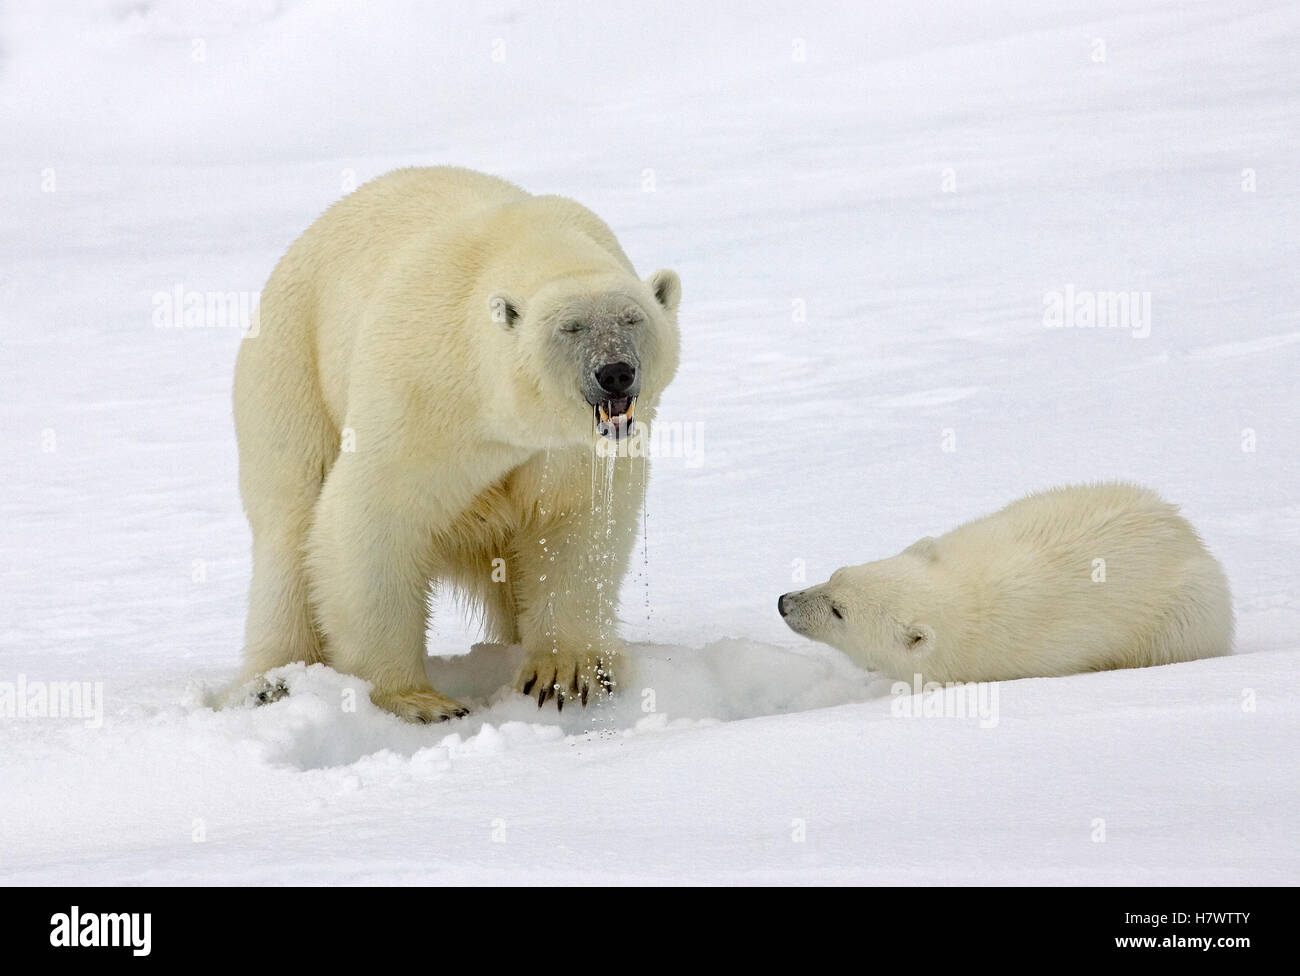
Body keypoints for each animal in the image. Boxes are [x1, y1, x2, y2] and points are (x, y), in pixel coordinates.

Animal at [233, 167, 681, 722]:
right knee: (290, 528)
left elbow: (575, 522)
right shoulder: (423, 392)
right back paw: (273, 683)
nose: (615, 373)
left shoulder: (570, 451)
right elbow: (372, 516)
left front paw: (566, 674)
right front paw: (418, 701)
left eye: (631, 319)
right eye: (570, 327)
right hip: (291, 367)